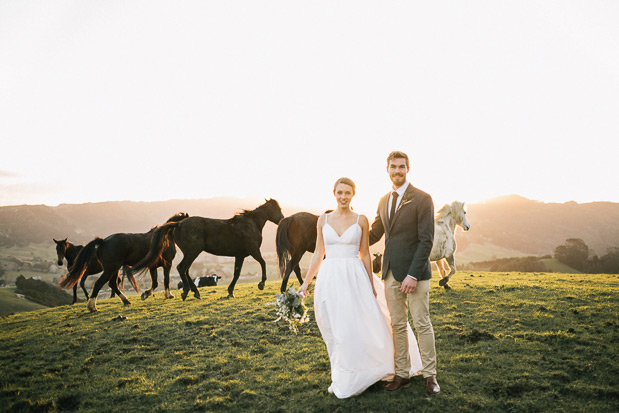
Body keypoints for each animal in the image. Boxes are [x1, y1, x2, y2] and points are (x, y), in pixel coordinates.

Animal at [60, 212, 189, 312]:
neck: (165, 236)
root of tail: (103, 241)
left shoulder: (153, 266)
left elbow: (155, 283)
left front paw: (146, 294)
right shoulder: (167, 264)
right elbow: (165, 281)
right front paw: (168, 295)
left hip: (115, 269)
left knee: (113, 284)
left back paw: (126, 300)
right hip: (110, 269)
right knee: (99, 284)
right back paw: (92, 307)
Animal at [133, 198, 286, 298]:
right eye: (278, 209)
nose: (282, 220)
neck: (250, 224)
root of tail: (179, 224)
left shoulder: (240, 255)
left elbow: (236, 273)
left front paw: (230, 291)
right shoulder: (254, 251)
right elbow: (263, 263)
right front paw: (261, 284)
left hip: (190, 253)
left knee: (186, 270)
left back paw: (195, 292)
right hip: (192, 252)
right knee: (182, 268)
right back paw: (187, 291)